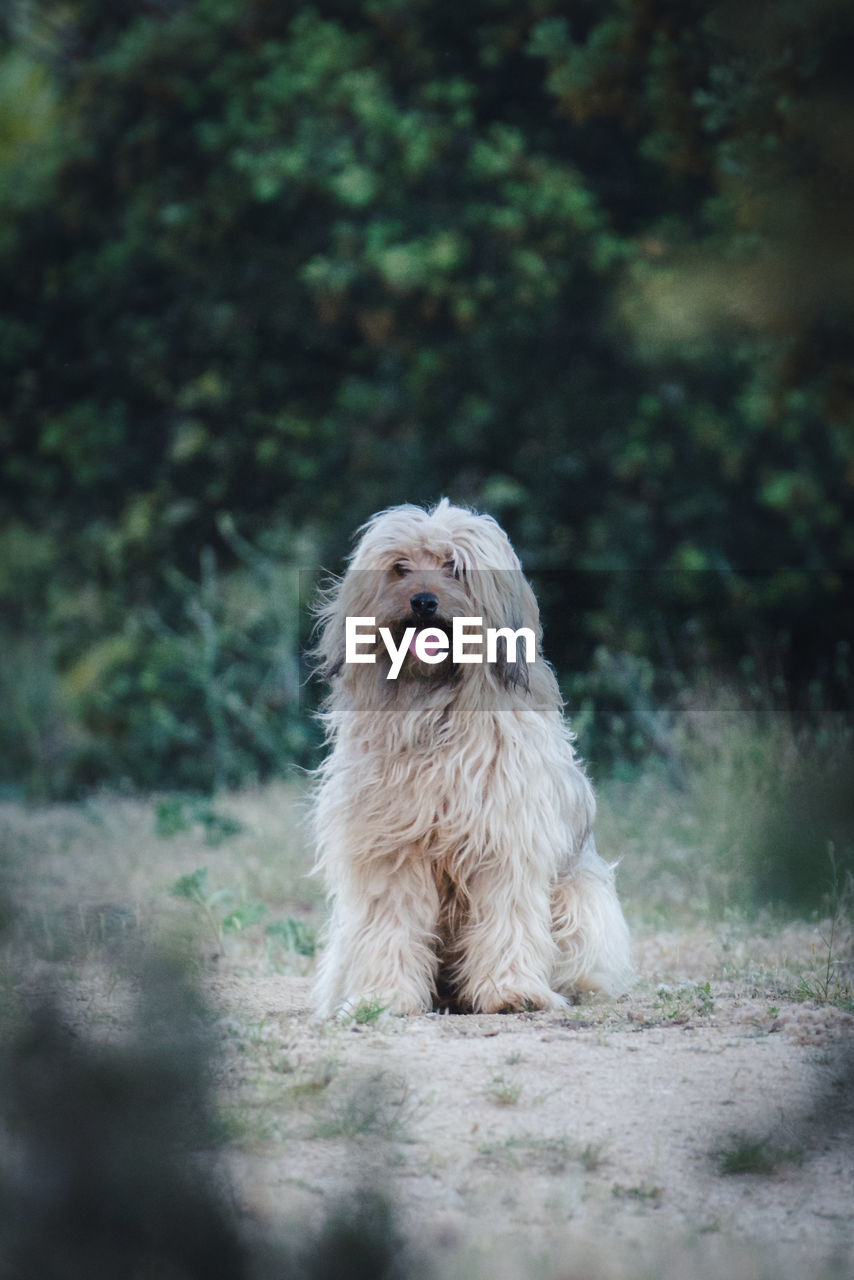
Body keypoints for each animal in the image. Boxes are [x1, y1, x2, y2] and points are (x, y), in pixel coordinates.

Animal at [311, 496, 632, 1008]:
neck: (435, 708)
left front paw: (511, 990)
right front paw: (386, 996)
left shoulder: (505, 842)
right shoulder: (391, 849)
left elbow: (508, 918)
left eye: (454, 567)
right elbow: (390, 925)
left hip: (581, 900)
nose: (423, 601)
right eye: (400, 568)